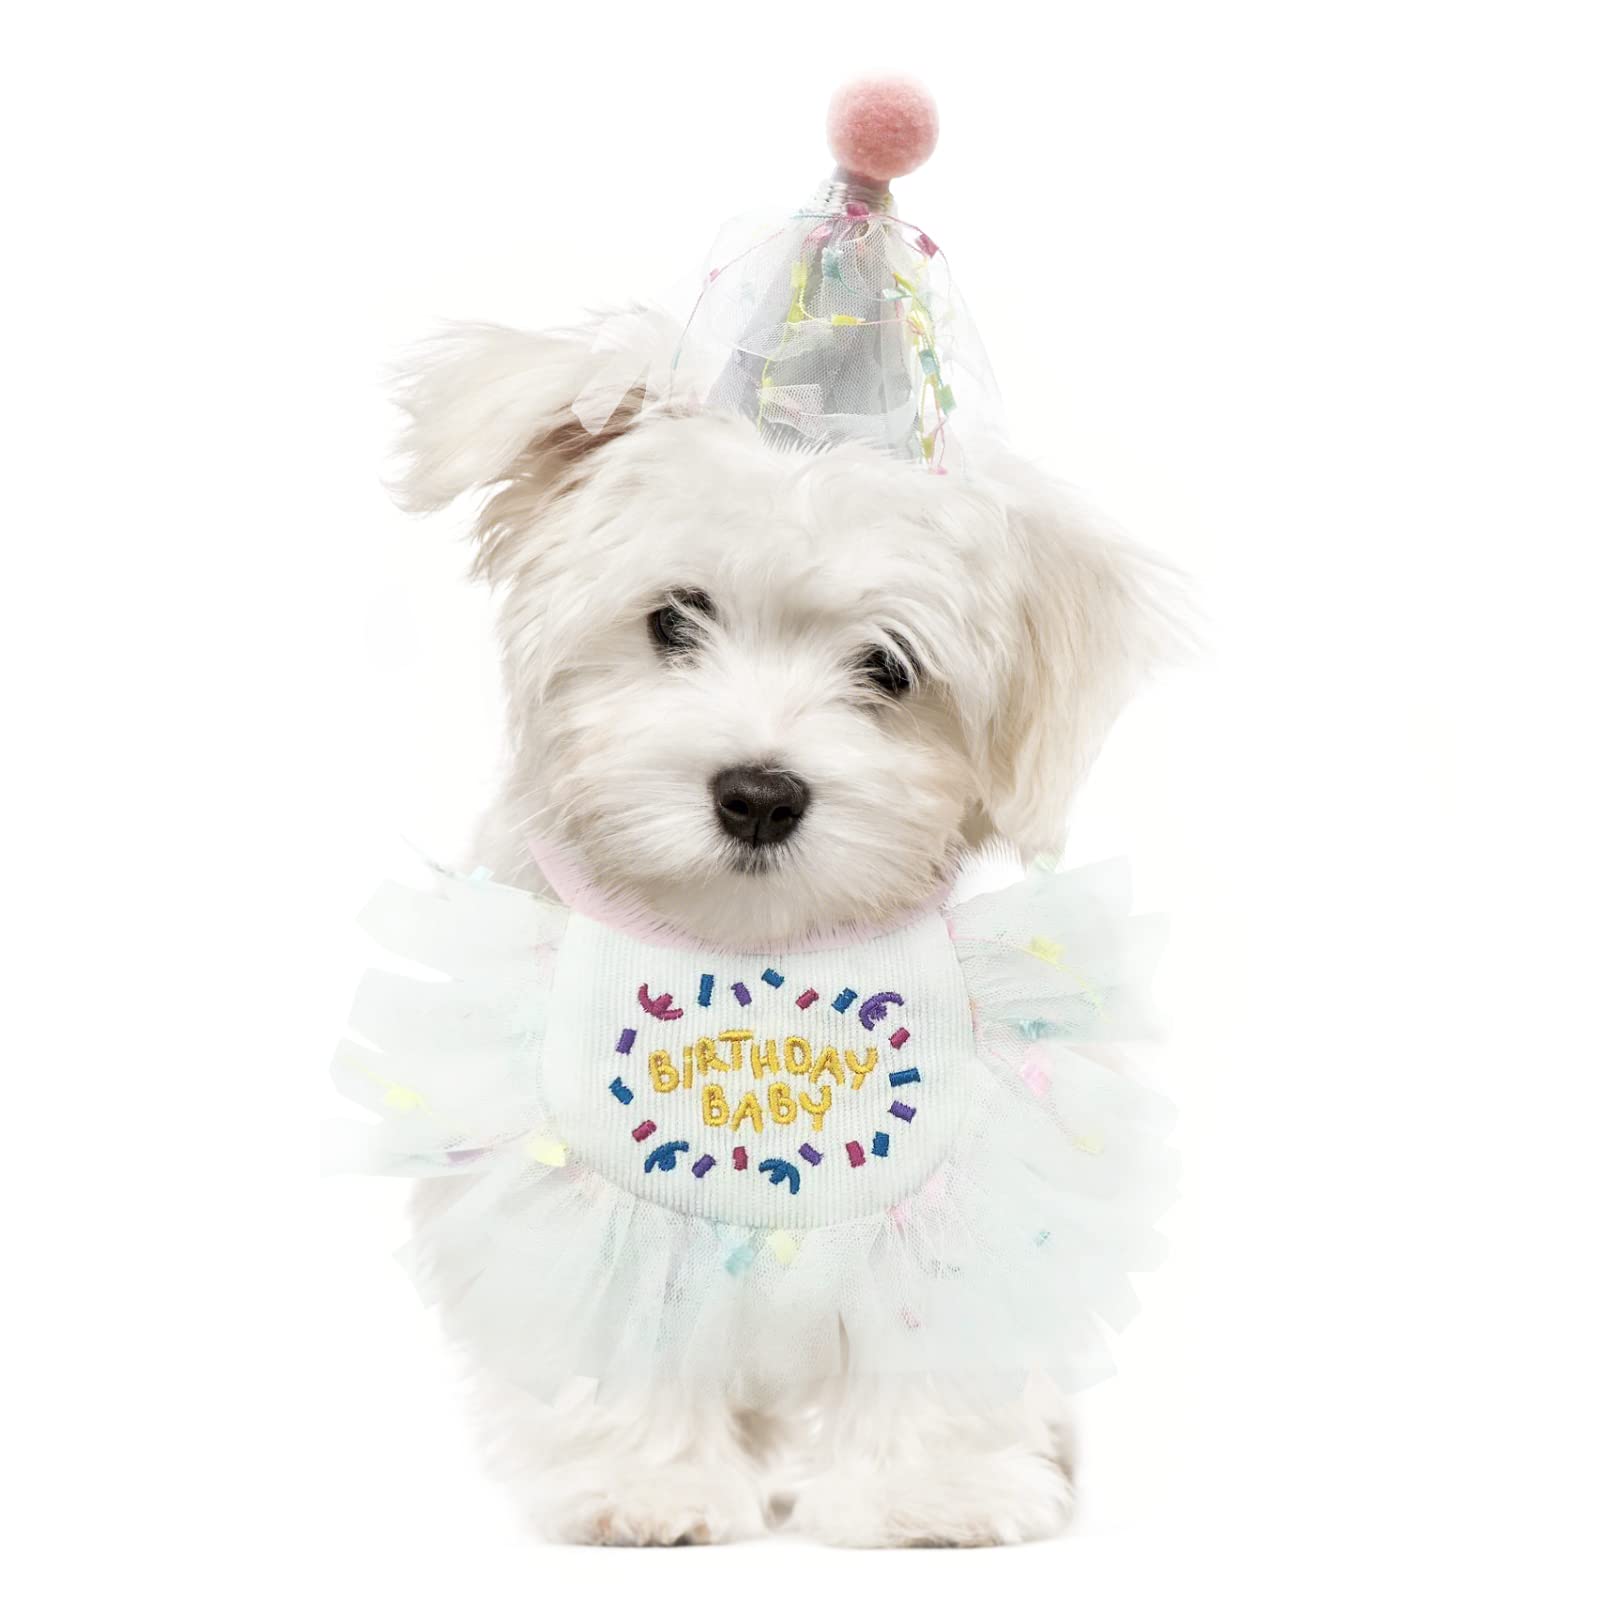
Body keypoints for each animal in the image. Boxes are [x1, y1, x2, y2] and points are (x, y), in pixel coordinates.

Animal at [384, 307, 1176, 1545]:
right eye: (672, 619)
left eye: (888, 666)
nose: (759, 794)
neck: (752, 956)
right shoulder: (590, 1207)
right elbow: (627, 1338)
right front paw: (647, 1486)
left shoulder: (958, 1206)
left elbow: (932, 1345)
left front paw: (926, 1495)